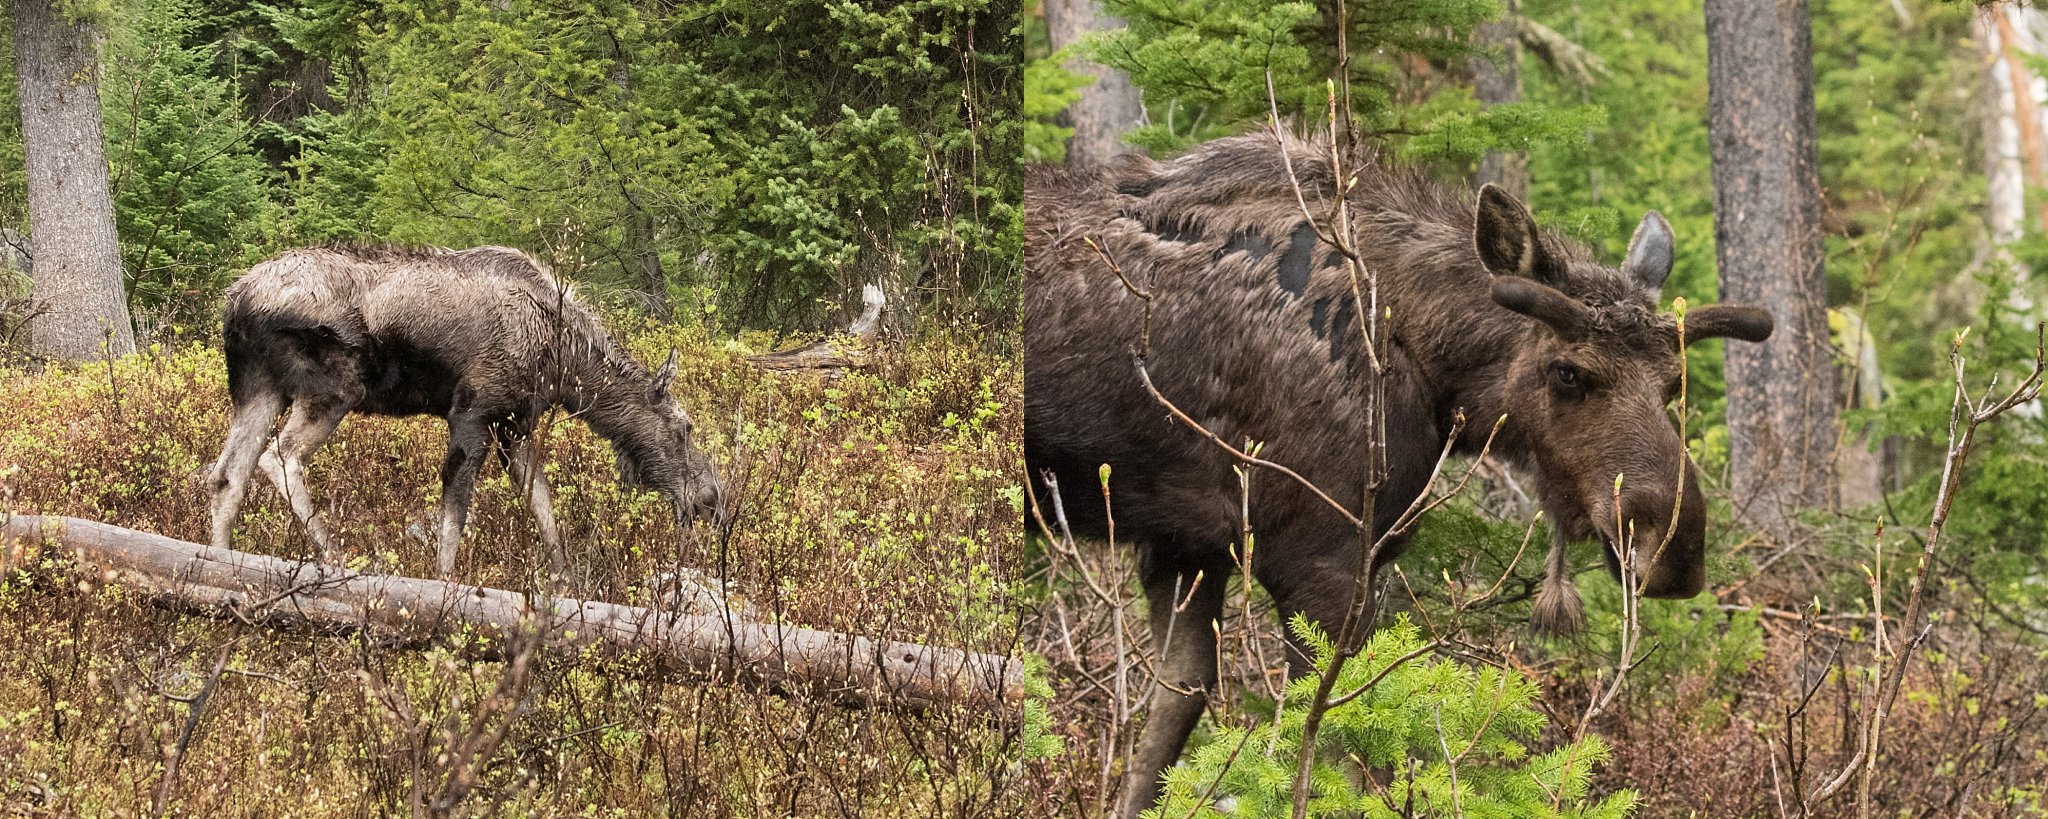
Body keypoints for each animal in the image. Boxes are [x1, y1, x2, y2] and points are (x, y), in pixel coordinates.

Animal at [207, 243, 729, 577]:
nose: (712, 500)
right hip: (334, 387)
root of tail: (235, 300)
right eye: (683, 429)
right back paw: (337, 555)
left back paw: (221, 563)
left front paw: (563, 579)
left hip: (259, 388)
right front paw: (445, 585)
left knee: (227, 473)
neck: (563, 361)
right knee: (279, 456)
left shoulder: (514, 427)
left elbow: (542, 504)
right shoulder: (473, 413)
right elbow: (454, 516)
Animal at [1024, 131, 1777, 814]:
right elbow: (1329, 752)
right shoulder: (1318, 561)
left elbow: (1167, 727)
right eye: (1568, 373)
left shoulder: (1188, 545)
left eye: (1673, 383)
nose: (1676, 550)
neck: (1425, 361)